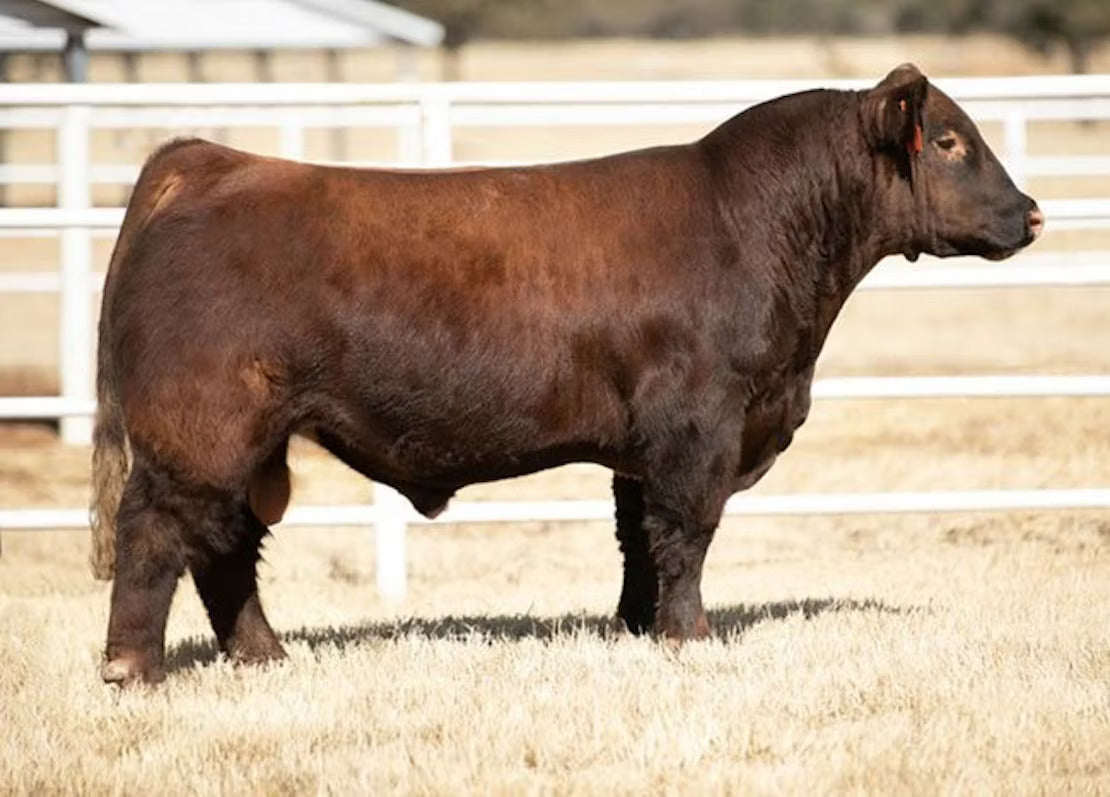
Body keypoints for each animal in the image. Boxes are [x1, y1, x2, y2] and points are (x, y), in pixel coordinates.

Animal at [90, 64, 1042, 685]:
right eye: (949, 140)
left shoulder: (642, 448)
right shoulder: (699, 426)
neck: (752, 225)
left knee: (226, 545)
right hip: (200, 434)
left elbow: (638, 541)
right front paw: (691, 639)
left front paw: (636, 630)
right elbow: (685, 533)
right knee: (157, 534)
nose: (1032, 213)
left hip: (247, 446)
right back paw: (133, 668)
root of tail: (208, 160)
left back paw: (264, 656)